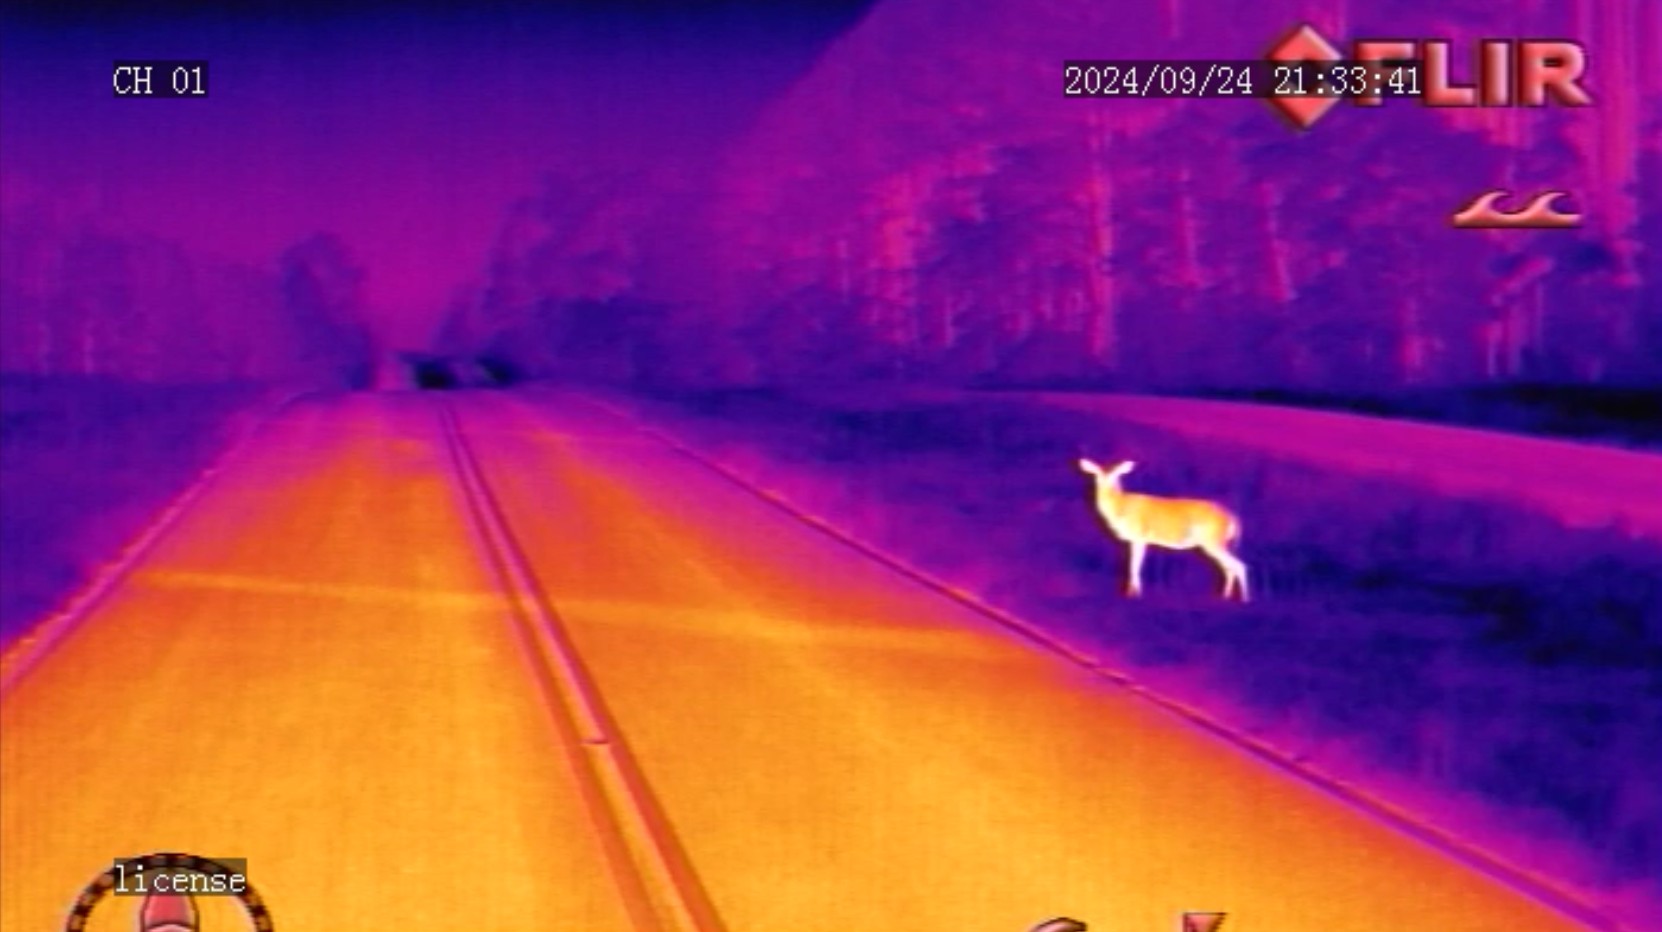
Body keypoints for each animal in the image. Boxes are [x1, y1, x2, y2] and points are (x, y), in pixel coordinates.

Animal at [1077, 458, 1249, 601]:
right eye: (1097, 475)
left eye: (1116, 475)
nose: (1107, 485)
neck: (1122, 507)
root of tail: (1232, 517)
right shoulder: (1134, 540)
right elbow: (1132, 565)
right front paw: (1130, 593)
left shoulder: (1140, 537)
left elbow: (1135, 565)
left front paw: (1135, 595)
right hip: (1215, 543)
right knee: (1229, 568)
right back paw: (1225, 597)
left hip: (1213, 541)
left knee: (1240, 565)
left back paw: (1245, 600)